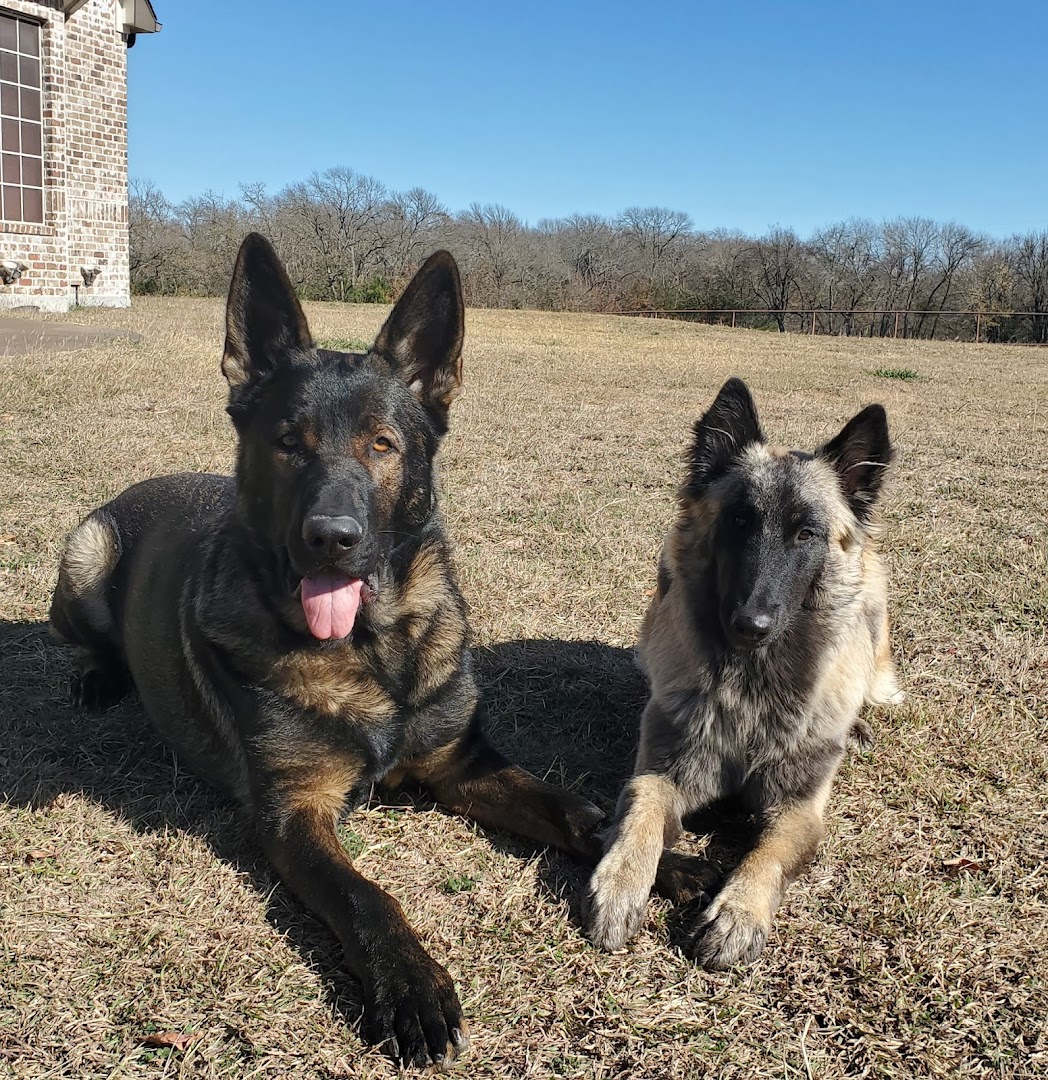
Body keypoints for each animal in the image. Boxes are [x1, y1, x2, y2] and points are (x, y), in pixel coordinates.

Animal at [51, 232, 605, 1067]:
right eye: (288, 444)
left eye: (382, 444)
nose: (332, 539)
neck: (372, 654)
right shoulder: (294, 813)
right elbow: (367, 896)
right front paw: (412, 986)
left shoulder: (463, 764)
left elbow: (575, 812)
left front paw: (672, 866)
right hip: (85, 550)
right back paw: (95, 676)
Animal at [583, 378, 903, 972]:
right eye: (738, 521)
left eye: (806, 534)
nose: (751, 624)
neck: (751, 685)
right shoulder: (661, 769)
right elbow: (640, 813)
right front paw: (619, 883)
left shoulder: (798, 809)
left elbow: (768, 855)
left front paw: (738, 912)